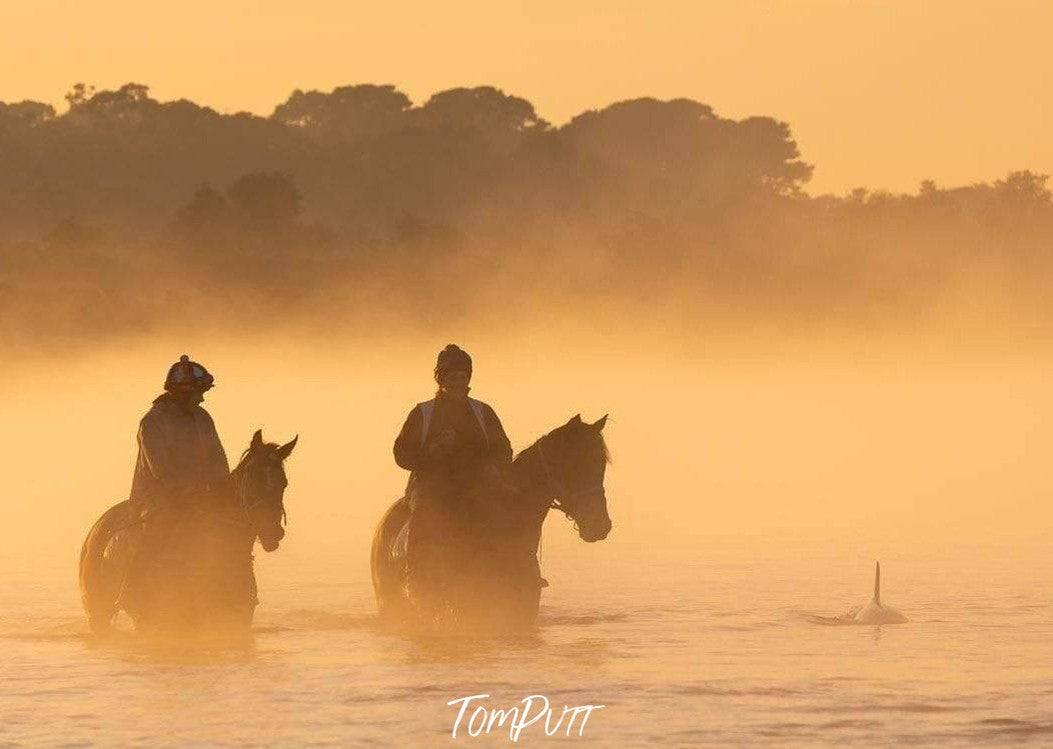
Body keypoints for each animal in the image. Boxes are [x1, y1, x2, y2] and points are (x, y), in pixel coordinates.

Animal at [78, 429, 296, 636]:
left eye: (283, 483)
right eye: (252, 479)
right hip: (102, 613)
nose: (272, 531)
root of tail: (95, 531)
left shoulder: (235, 618)